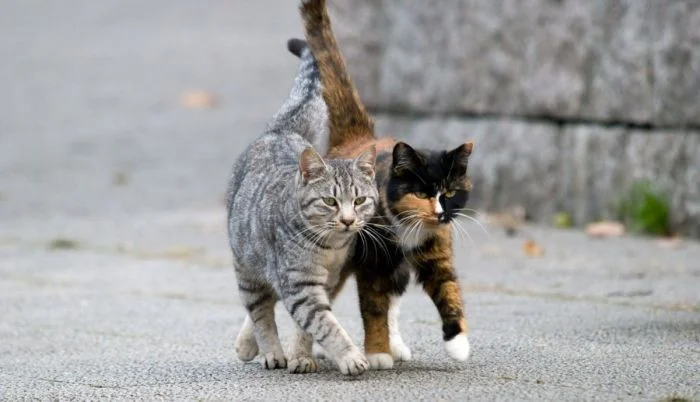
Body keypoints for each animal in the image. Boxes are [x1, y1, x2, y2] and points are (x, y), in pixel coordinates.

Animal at [226, 37, 379, 376]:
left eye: (360, 200)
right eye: (330, 201)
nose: (348, 220)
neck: (330, 247)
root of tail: (280, 130)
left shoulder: (326, 281)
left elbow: (307, 327)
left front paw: (302, 355)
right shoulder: (301, 285)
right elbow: (325, 324)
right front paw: (350, 357)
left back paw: (250, 344)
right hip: (247, 265)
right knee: (260, 311)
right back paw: (270, 352)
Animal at [298, 0, 474, 369]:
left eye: (450, 193)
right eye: (421, 193)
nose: (441, 212)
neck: (408, 229)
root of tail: (357, 138)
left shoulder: (437, 251)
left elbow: (448, 289)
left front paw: (458, 342)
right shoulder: (372, 263)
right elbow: (373, 307)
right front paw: (377, 352)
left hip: (396, 268)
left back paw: (397, 345)